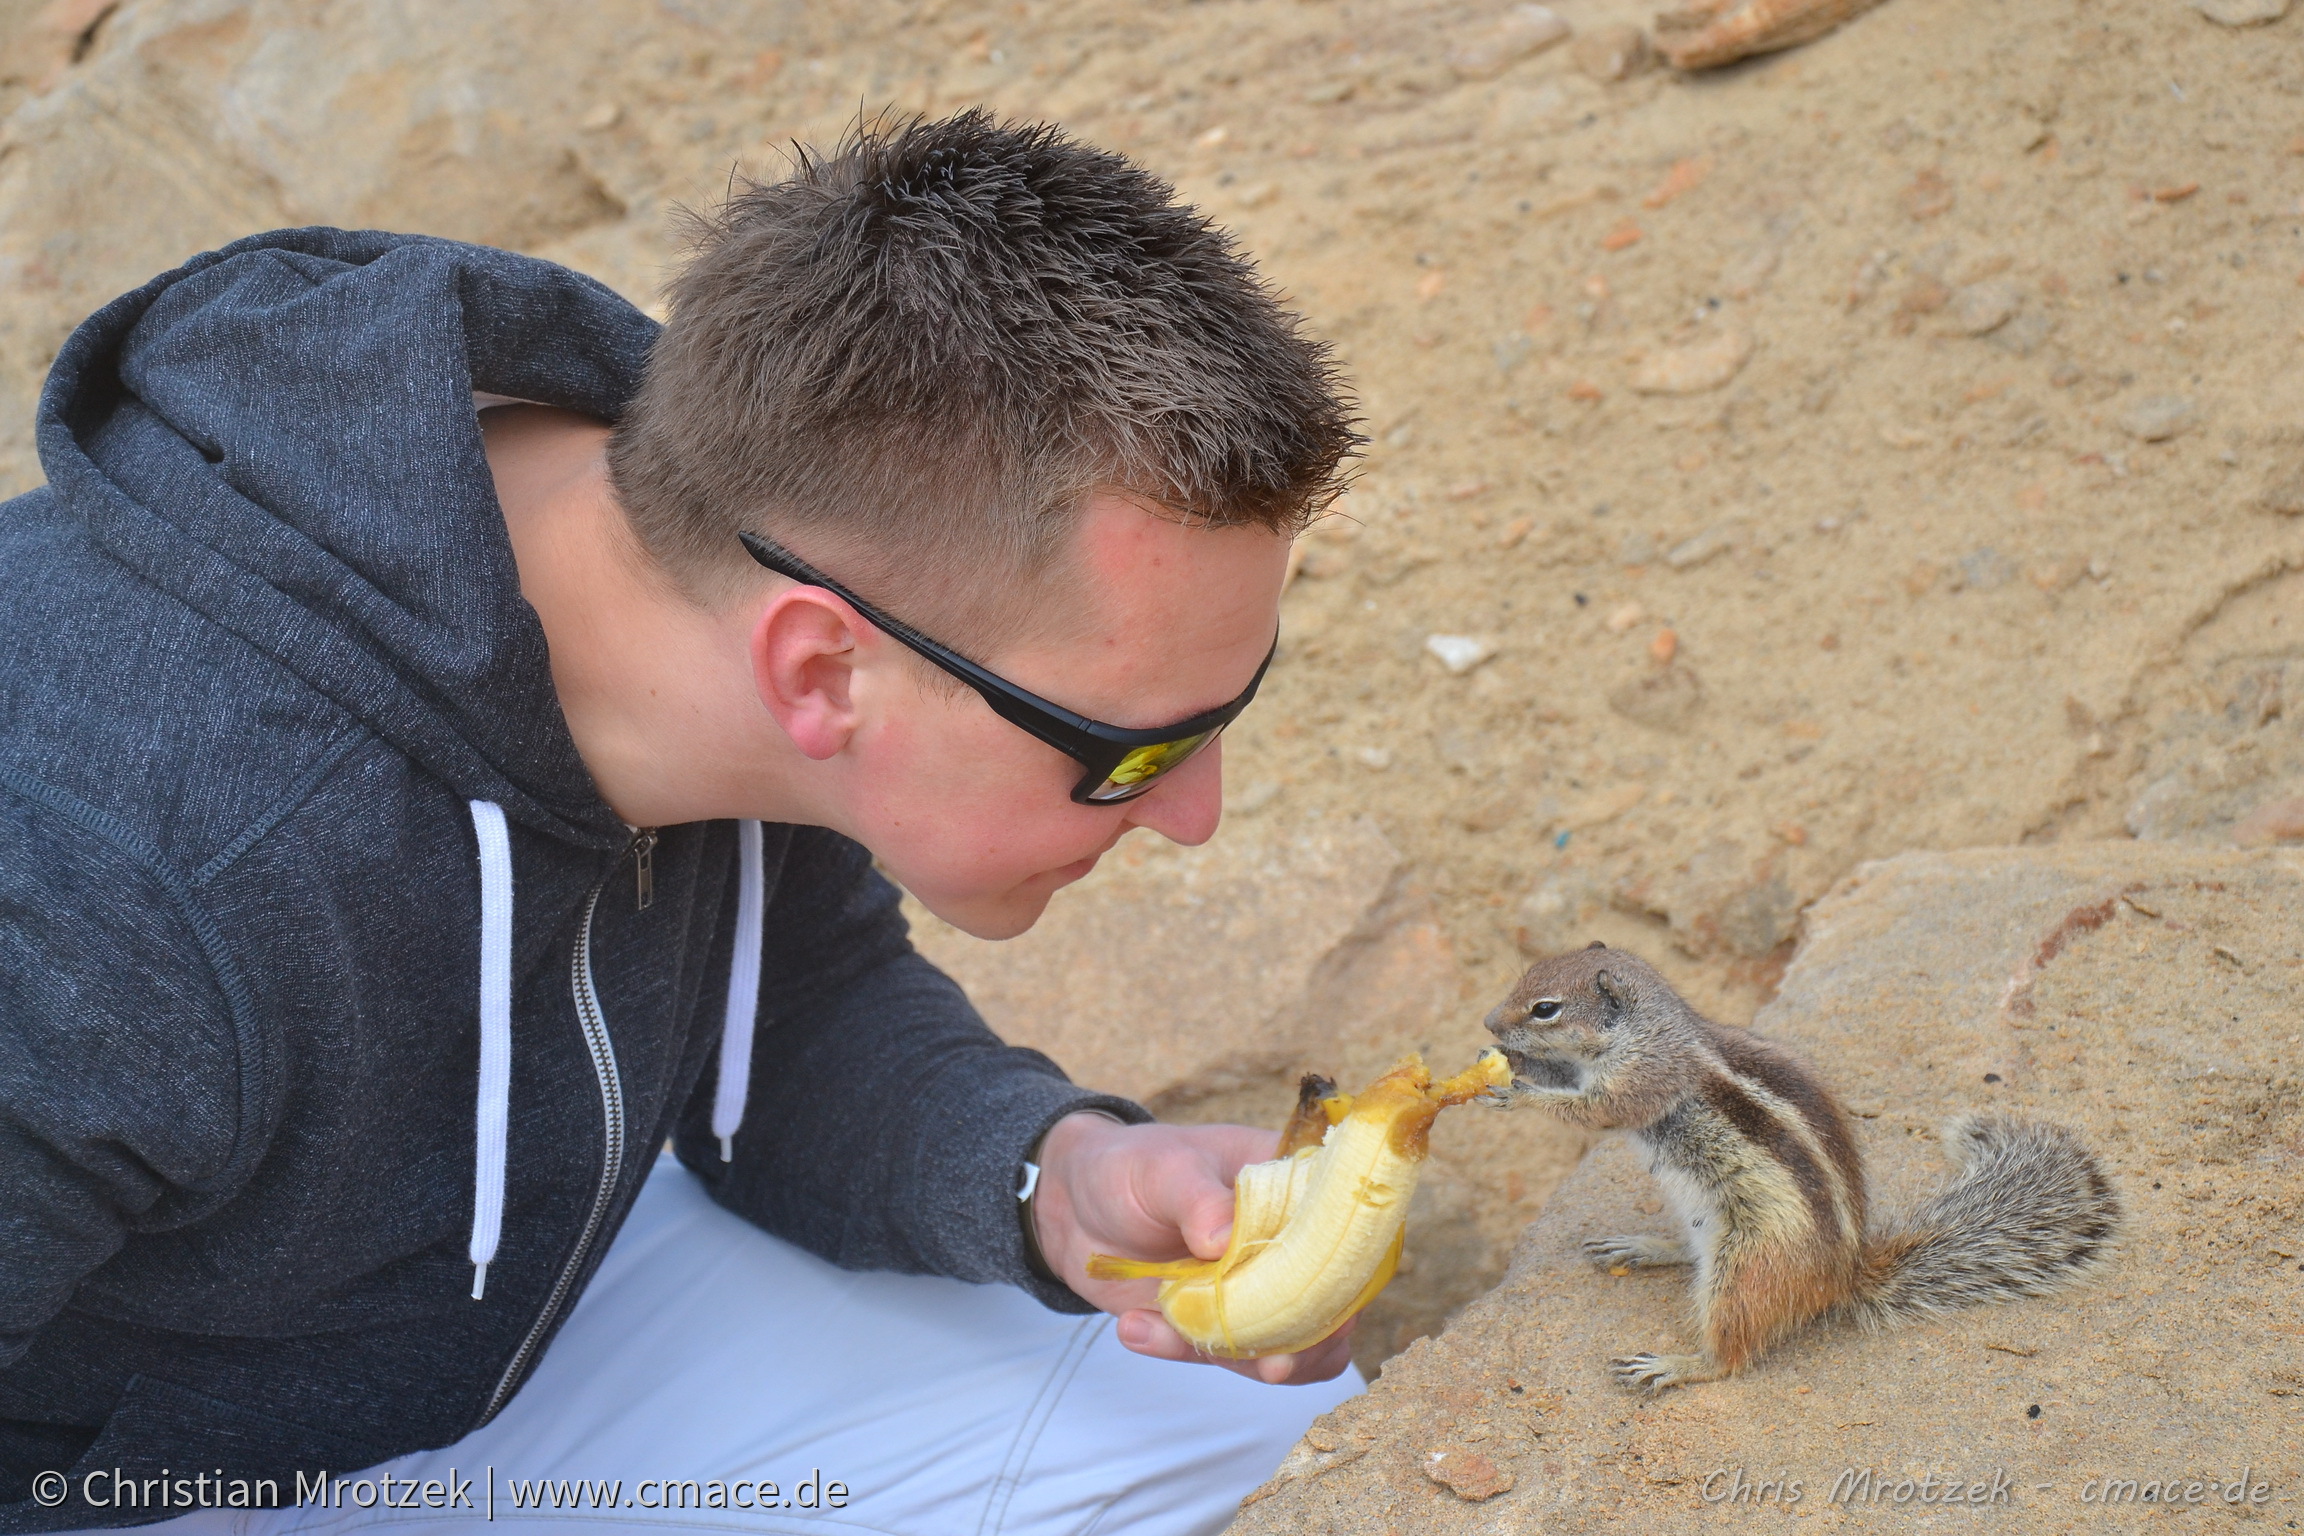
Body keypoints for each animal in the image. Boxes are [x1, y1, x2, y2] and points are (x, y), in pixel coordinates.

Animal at [1483, 939, 2110, 1390]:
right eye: (1522, 978)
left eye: (1545, 1009)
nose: (1490, 1024)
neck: (1651, 1028)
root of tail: (1843, 1276)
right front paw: (1510, 1066)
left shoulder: (1644, 1079)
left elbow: (1594, 1109)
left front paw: (1517, 1092)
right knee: (1689, 1255)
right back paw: (1645, 1247)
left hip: (1746, 1265)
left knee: (1732, 1351)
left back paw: (1677, 1365)